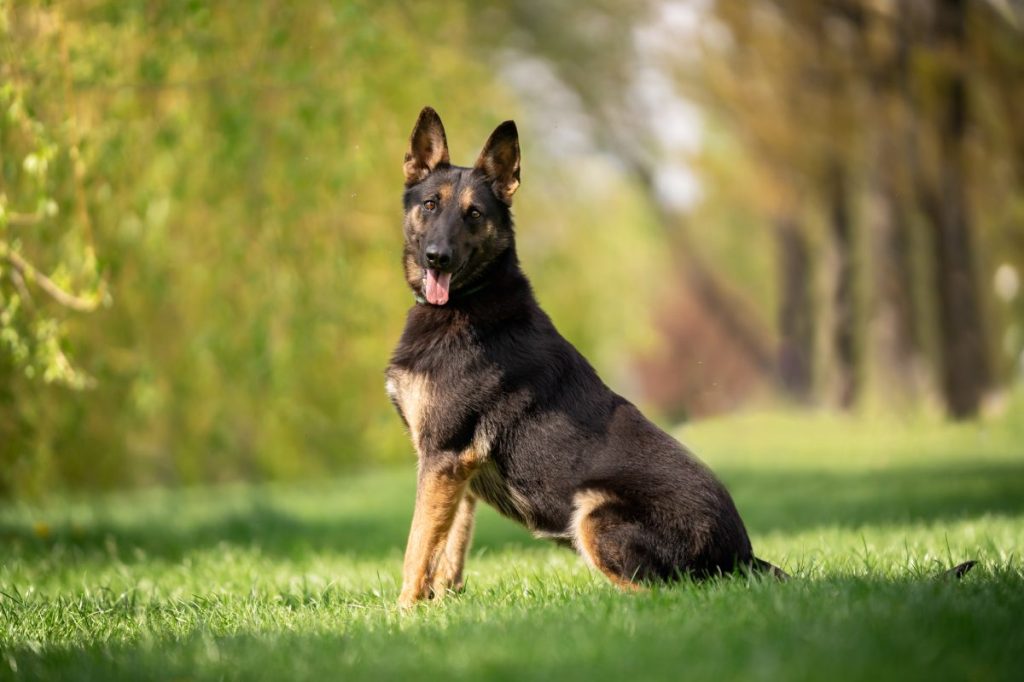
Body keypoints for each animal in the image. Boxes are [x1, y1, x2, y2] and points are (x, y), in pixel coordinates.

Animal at [385, 106, 782, 606]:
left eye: (473, 214)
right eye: (430, 205)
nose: (438, 258)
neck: (470, 299)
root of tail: (743, 555)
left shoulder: (442, 457)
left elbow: (417, 545)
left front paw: (402, 610)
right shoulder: (459, 473)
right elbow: (449, 545)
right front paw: (440, 604)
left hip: (593, 511)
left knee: (660, 593)